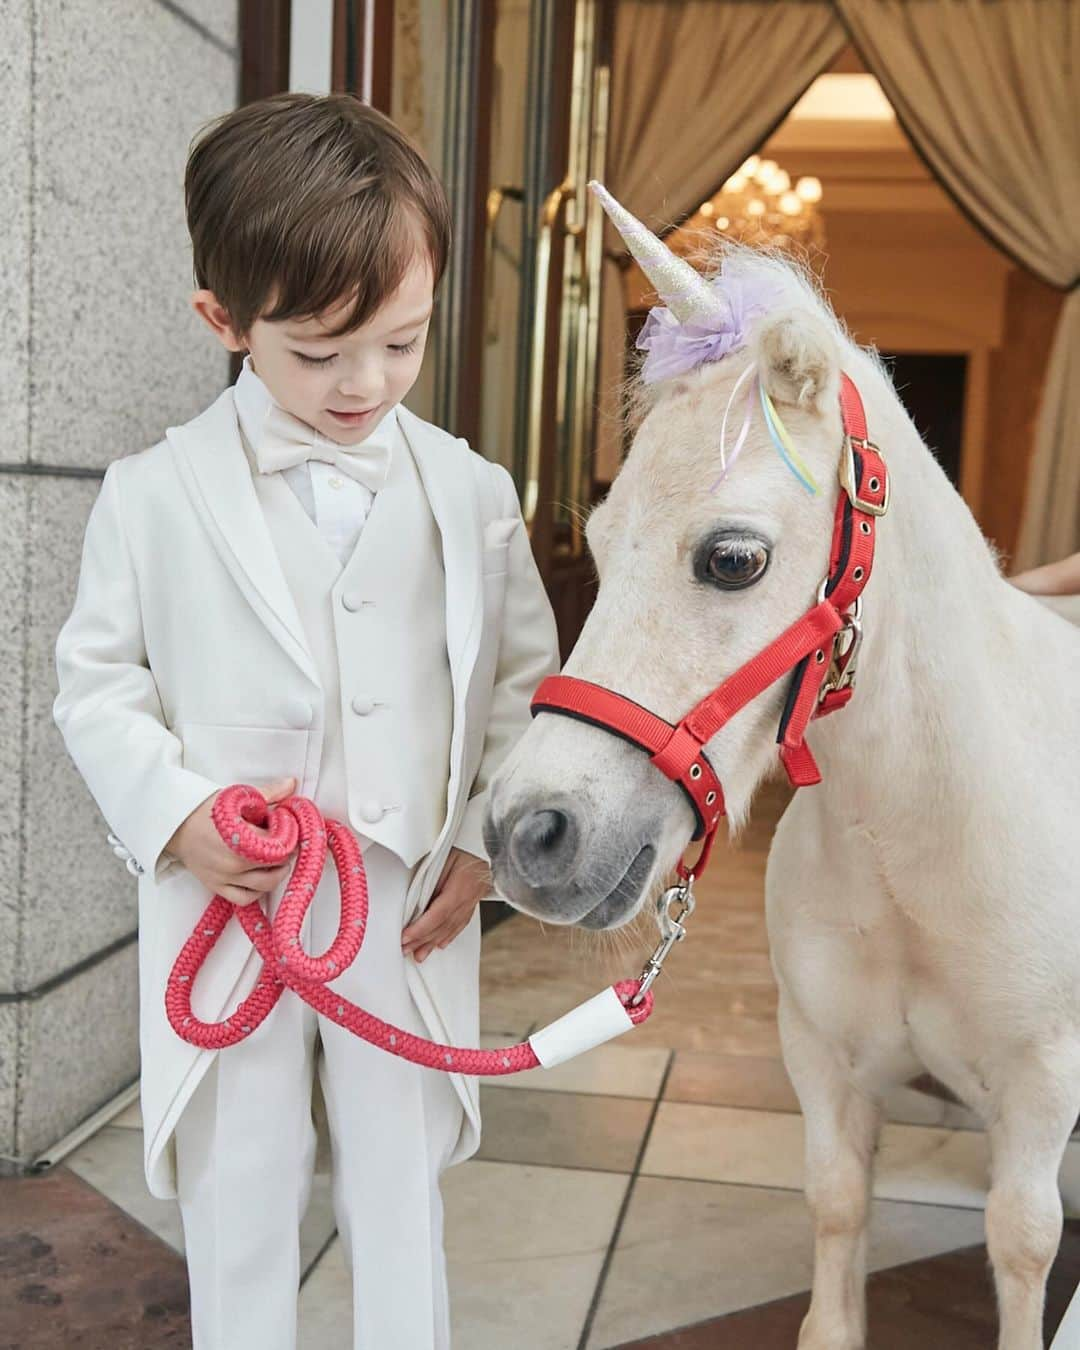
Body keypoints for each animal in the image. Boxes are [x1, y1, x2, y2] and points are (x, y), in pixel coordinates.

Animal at [483, 182, 1080, 1350]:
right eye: (601, 540)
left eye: (733, 559)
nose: (530, 836)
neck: (919, 844)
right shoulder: (826, 1067)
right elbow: (838, 1214)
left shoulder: (1041, 1087)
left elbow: (1023, 1241)